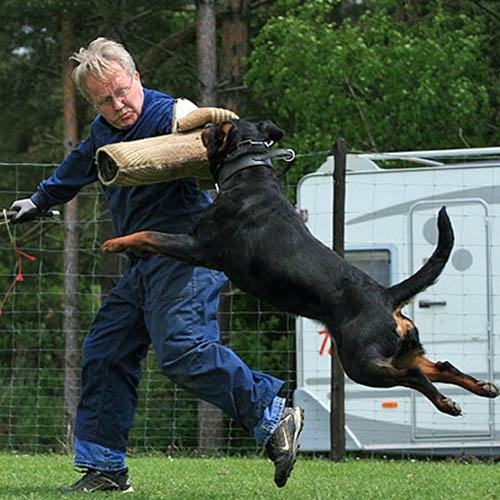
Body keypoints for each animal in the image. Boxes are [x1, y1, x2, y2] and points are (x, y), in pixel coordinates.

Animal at [100, 119, 496, 416]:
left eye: (214, 129)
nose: (203, 125)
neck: (248, 174)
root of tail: (387, 295)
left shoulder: (198, 247)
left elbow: (149, 234)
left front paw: (116, 243)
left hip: (362, 362)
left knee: (413, 374)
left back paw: (447, 403)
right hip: (396, 350)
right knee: (440, 366)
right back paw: (482, 387)